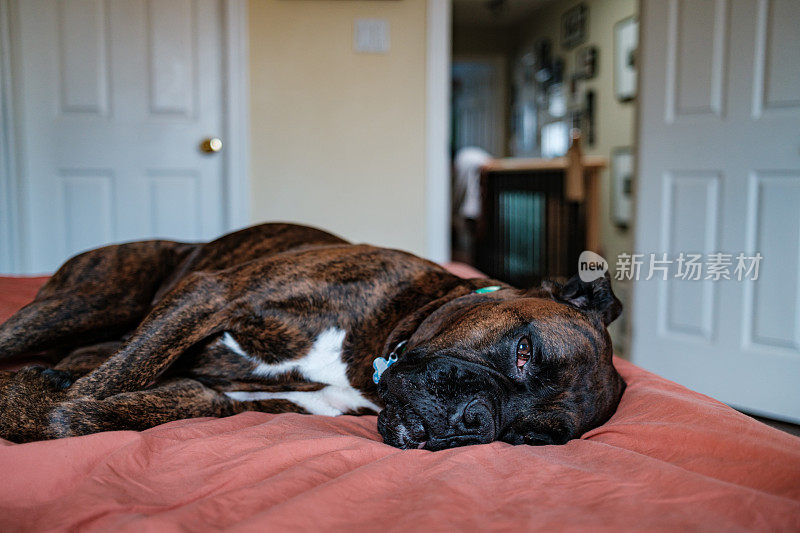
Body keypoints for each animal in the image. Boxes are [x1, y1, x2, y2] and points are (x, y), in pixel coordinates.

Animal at [0, 221, 624, 448]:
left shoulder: (210, 397)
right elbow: (109, 381)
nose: (476, 421)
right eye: (523, 351)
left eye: (526, 438)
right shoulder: (212, 295)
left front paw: (38, 398)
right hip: (82, 301)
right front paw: (25, 398)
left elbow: (90, 411)